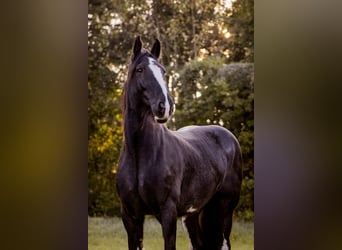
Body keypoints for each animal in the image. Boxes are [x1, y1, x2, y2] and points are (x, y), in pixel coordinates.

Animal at [116, 35, 242, 250]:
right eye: (140, 70)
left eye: (163, 71)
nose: (165, 106)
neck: (140, 153)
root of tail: (229, 136)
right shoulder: (131, 216)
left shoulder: (168, 212)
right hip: (193, 215)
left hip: (223, 211)